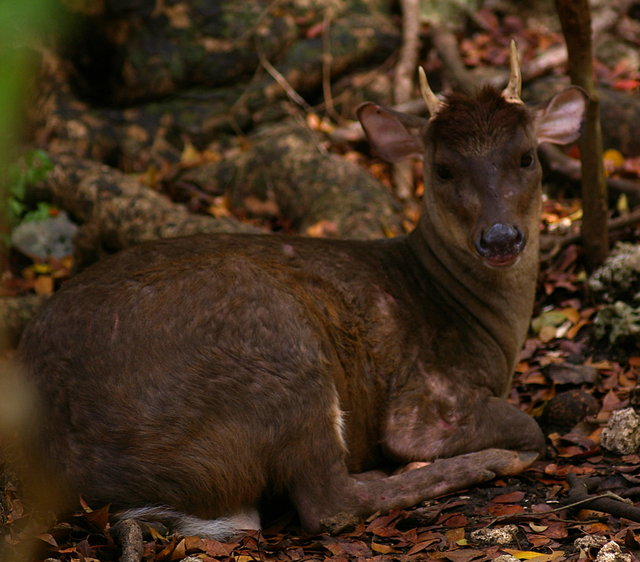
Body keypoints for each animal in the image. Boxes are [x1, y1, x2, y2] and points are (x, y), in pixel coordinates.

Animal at [16, 43, 584, 540]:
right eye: (442, 168)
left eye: (527, 157)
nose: (501, 237)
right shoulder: (423, 392)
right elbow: (524, 429)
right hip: (277, 351)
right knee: (329, 502)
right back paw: (468, 465)